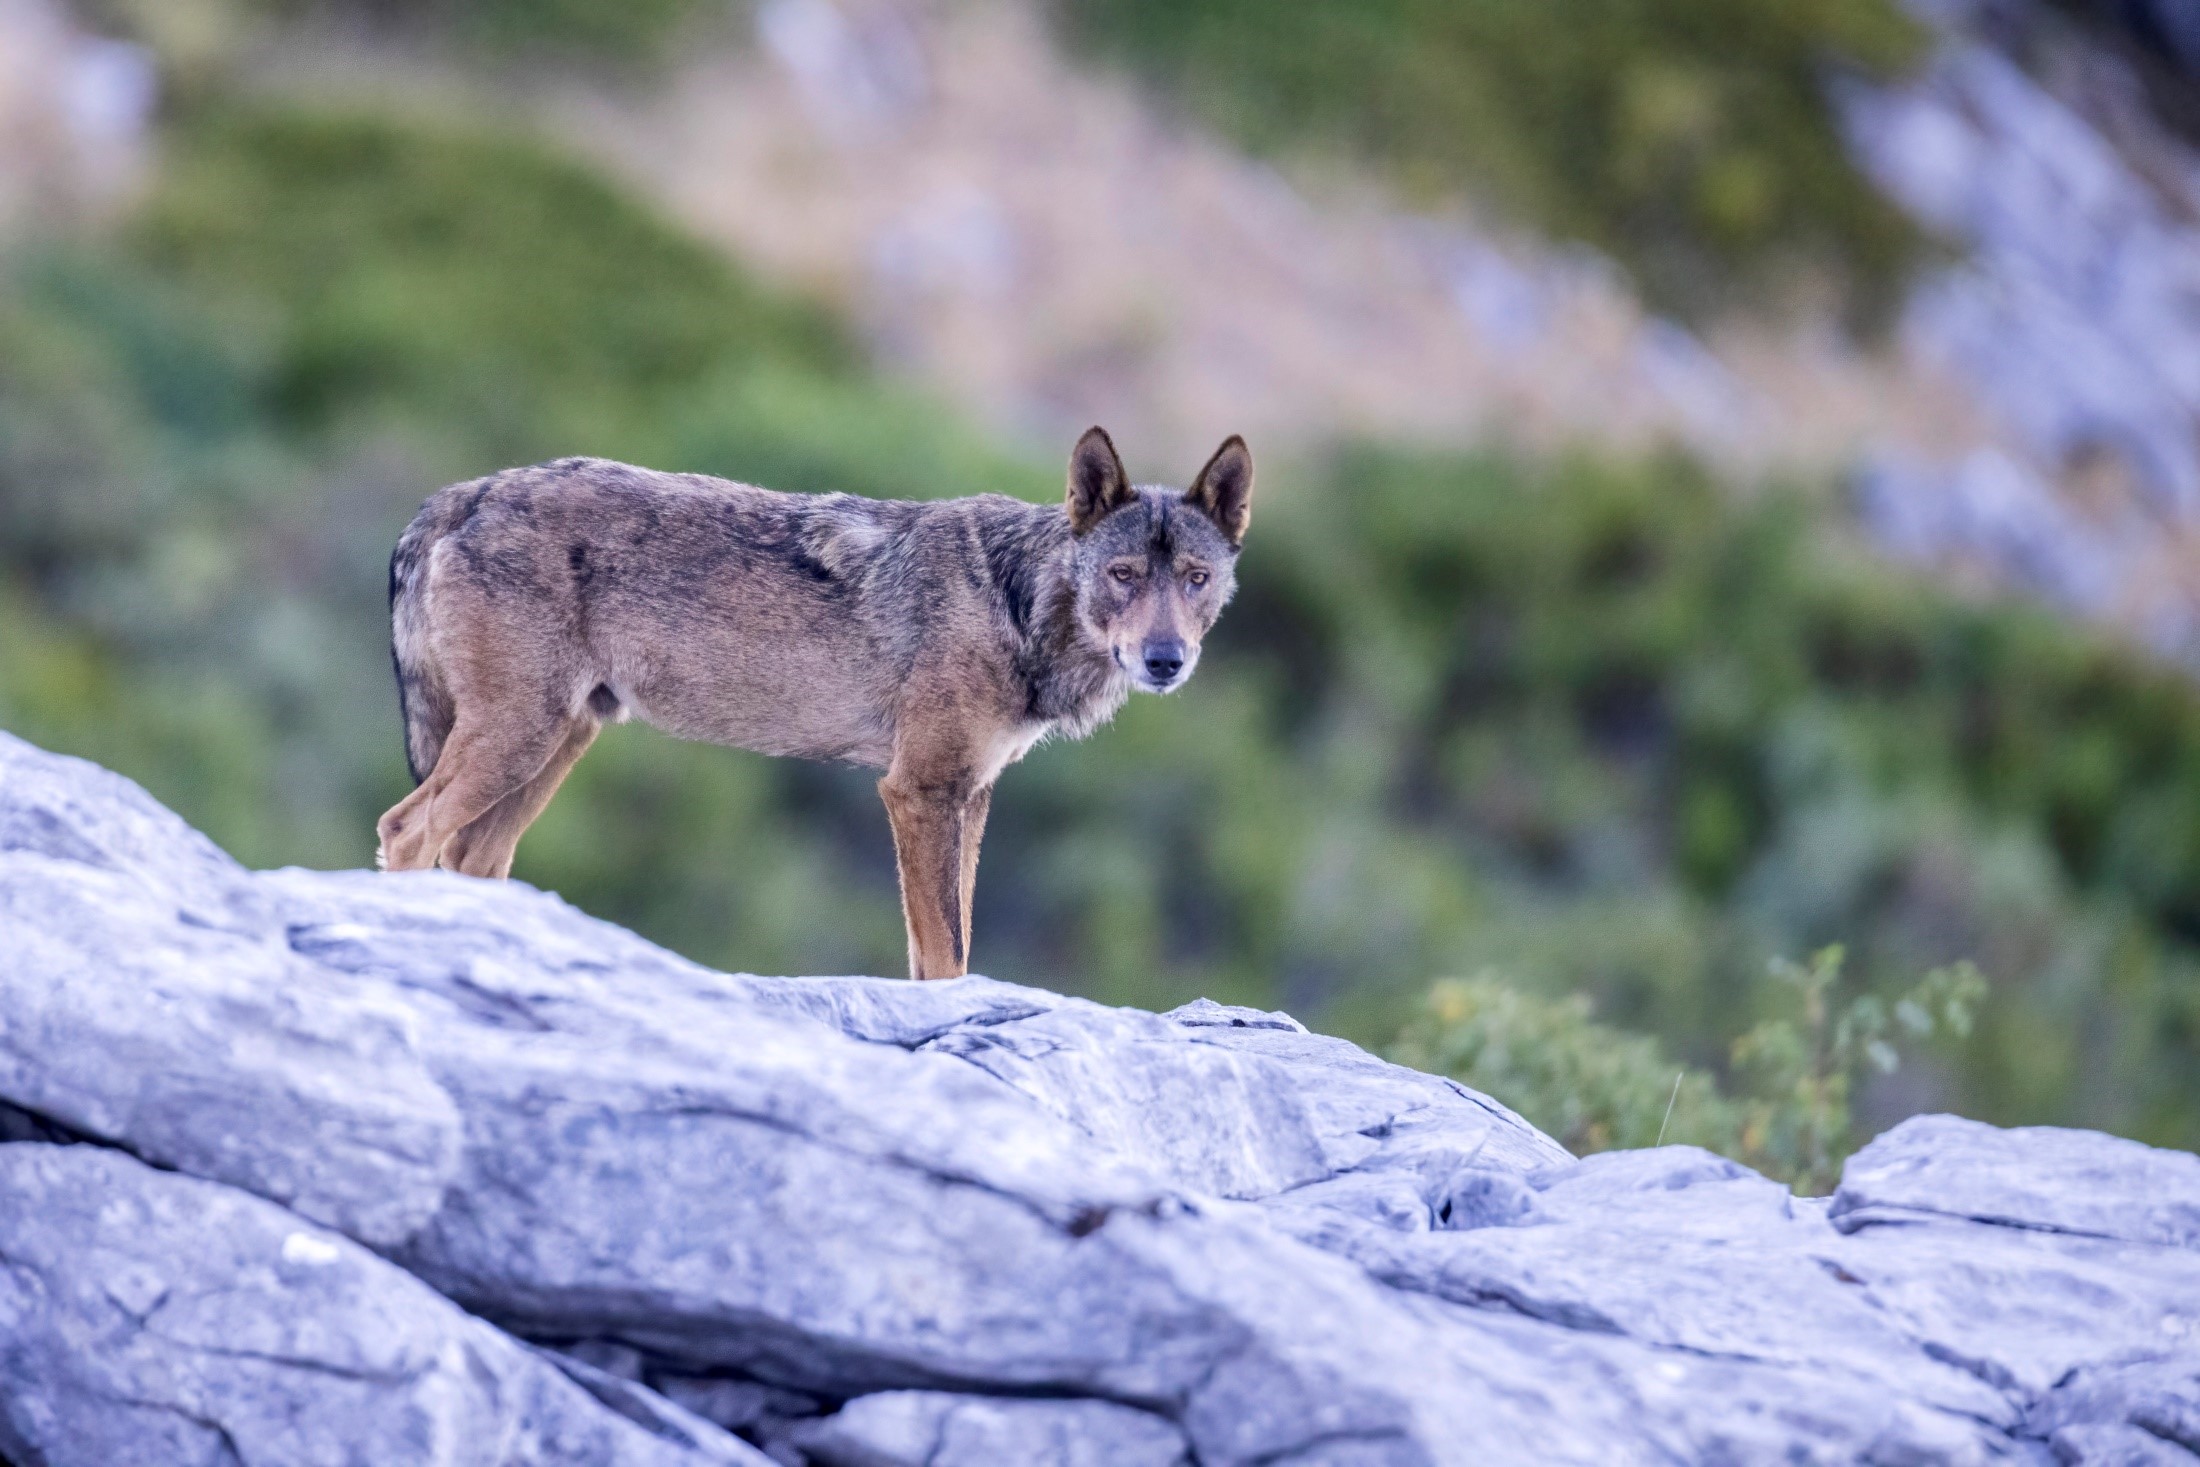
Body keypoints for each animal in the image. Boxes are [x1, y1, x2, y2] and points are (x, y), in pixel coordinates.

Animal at [378, 424, 1258, 980]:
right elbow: (947, 954)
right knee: (407, 828)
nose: (1166, 660)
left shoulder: (970, 798)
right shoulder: (919, 791)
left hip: (554, 745)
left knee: (472, 855)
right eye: (1122, 576)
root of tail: (459, 495)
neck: (1016, 602)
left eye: (1195, 579)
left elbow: (942, 946)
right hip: (518, 741)